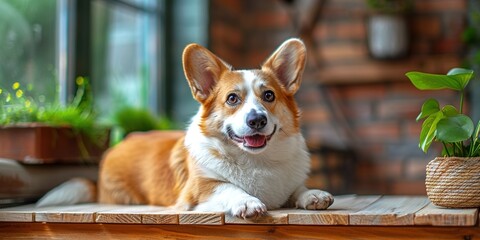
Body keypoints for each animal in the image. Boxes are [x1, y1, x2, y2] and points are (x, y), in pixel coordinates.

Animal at [36, 38, 334, 218]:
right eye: (232, 99)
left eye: (269, 96)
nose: (257, 120)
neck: (255, 161)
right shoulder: (198, 191)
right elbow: (227, 187)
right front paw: (247, 201)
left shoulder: (288, 183)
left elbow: (297, 188)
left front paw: (313, 194)